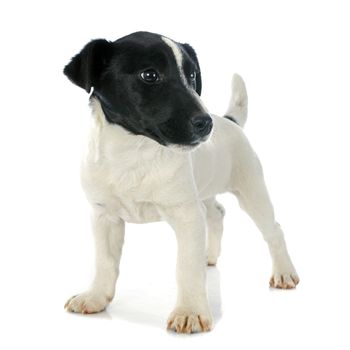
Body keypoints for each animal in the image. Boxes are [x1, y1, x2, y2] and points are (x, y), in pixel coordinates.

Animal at [62, 32, 298, 334]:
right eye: (150, 75)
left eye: (193, 74)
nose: (206, 124)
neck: (134, 151)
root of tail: (230, 122)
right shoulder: (104, 217)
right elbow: (104, 261)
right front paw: (95, 297)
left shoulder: (186, 216)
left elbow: (186, 267)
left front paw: (190, 312)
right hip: (206, 195)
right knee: (217, 213)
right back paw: (208, 254)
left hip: (252, 191)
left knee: (273, 230)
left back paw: (284, 272)